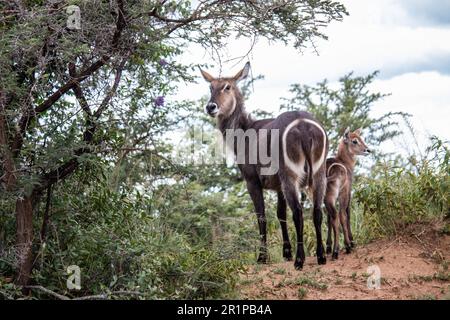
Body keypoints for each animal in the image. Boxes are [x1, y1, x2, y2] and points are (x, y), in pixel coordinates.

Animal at [202, 62, 328, 268]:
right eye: (210, 87)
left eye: (227, 87)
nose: (211, 106)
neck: (244, 131)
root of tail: (303, 125)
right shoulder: (277, 187)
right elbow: (280, 214)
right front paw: (286, 252)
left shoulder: (252, 180)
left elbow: (261, 216)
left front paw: (262, 257)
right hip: (318, 173)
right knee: (317, 211)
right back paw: (321, 256)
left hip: (290, 175)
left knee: (298, 212)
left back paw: (299, 260)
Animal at [326, 127, 370, 260]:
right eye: (354, 140)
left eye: (361, 138)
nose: (368, 150)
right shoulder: (349, 191)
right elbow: (348, 213)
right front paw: (352, 241)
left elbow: (328, 219)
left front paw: (328, 247)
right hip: (341, 193)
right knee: (341, 215)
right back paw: (346, 247)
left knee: (333, 216)